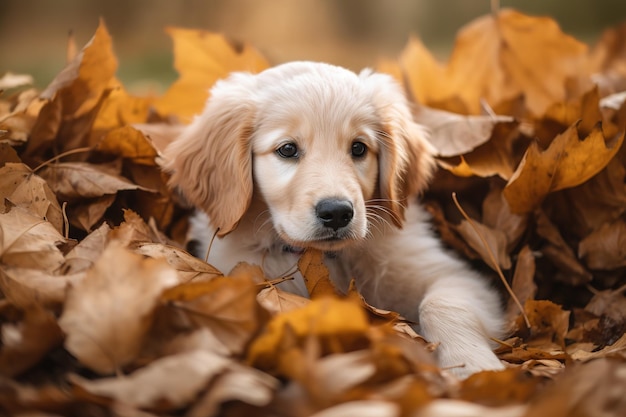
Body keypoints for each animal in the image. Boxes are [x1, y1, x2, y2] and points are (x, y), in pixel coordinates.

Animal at [163, 61, 504, 376]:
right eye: (287, 149)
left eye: (359, 148)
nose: (337, 212)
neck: (325, 257)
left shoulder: (450, 274)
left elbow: (442, 304)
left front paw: (472, 364)